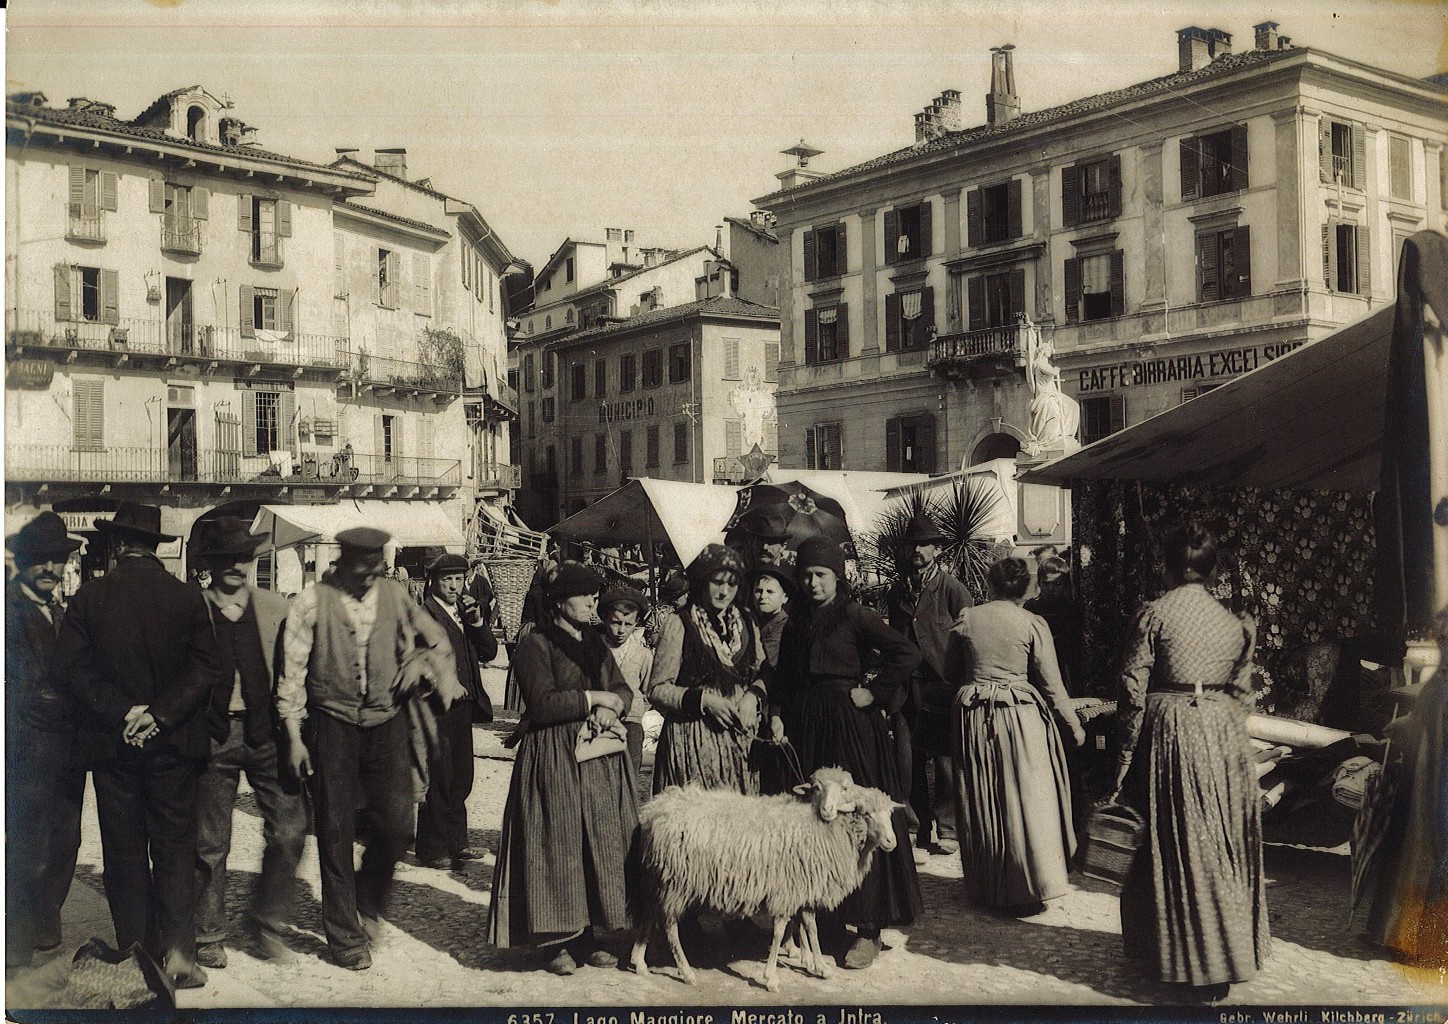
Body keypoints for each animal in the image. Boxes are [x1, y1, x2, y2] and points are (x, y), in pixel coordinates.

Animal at [628, 776, 897, 990]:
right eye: (866, 813)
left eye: (890, 814)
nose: (891, 842)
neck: (821, 828)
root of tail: (654, 810)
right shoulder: (787, 890)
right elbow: (780, 931)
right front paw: (772, 978)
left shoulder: (804, 887)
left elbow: (810, 926)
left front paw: (818, 965)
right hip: (676, 882)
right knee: (669, 926)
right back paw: (686, 972)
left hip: (658, 877)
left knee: (649, 913)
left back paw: (639, 961)